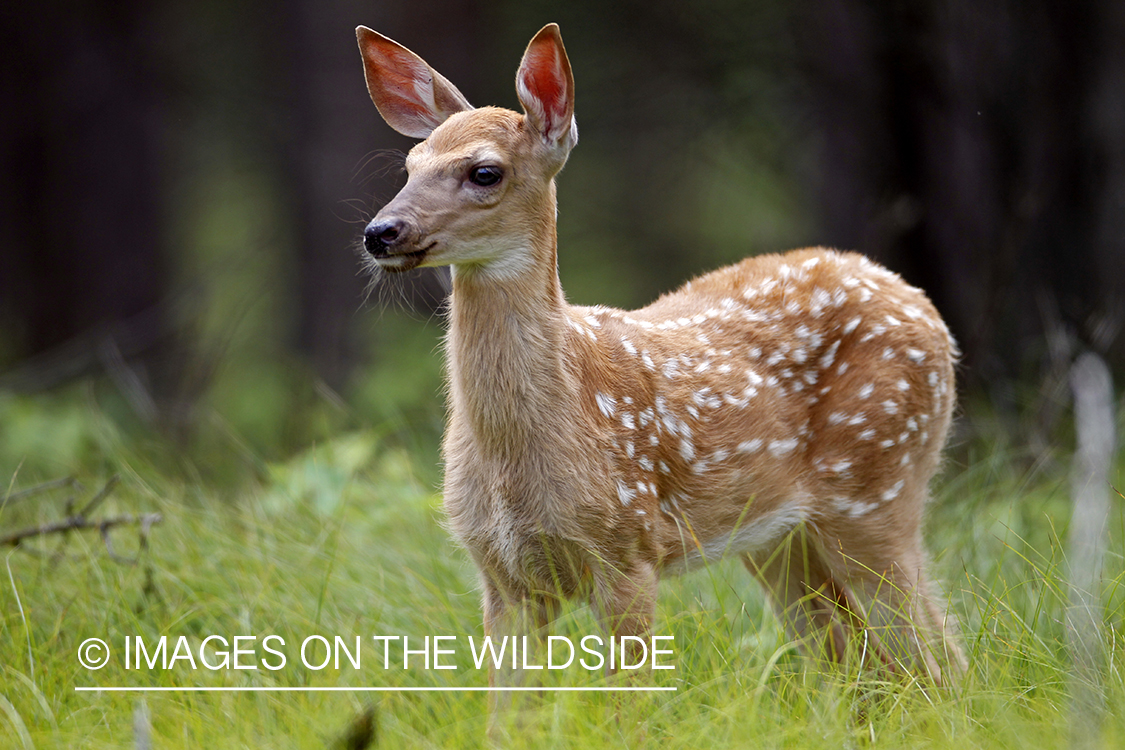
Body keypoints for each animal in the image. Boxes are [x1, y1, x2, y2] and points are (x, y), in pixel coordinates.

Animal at [355, 22, 967, 708]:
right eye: (409, 165)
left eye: (484, 171)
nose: (381, 231)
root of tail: (923, 307)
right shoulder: (503, 577)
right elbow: (506, 716)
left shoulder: (628, 547)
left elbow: (631, 708)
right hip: (780, 536)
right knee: (866, 663)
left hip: (878, 486)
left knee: (941, 659)